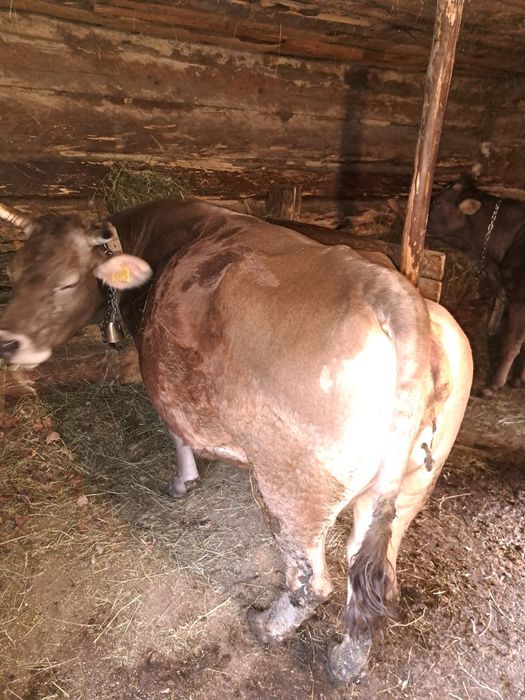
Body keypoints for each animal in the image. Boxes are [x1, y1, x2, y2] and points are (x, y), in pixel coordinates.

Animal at [0, 199, 472, 683]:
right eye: (13, 272)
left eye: (67, 281)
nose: (8, 341)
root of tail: (386, 286)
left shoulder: (163, 376)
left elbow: (177, 429)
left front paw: (182, 481)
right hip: (410, 485)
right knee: (374, 572)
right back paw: (347, 660)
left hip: (294, 489)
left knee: (312, 582)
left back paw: (267, 627)